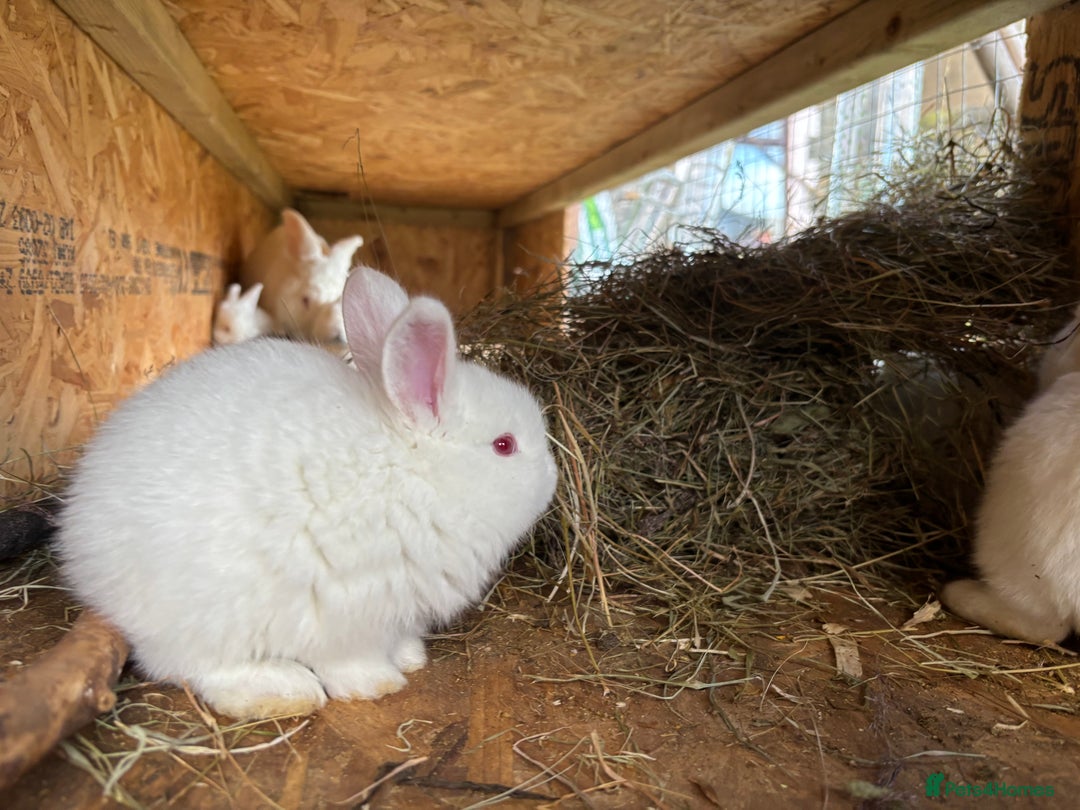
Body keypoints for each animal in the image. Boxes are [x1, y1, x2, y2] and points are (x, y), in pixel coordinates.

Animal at [55, 267, 558, 720]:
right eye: (504, 445)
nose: (553, 478)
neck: (411, 471)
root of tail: (82, 551)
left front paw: (411, 657)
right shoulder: (353, 611)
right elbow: (350, 663)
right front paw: (379, 684)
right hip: (207, 616)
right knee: (189, 666)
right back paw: (284, 690)